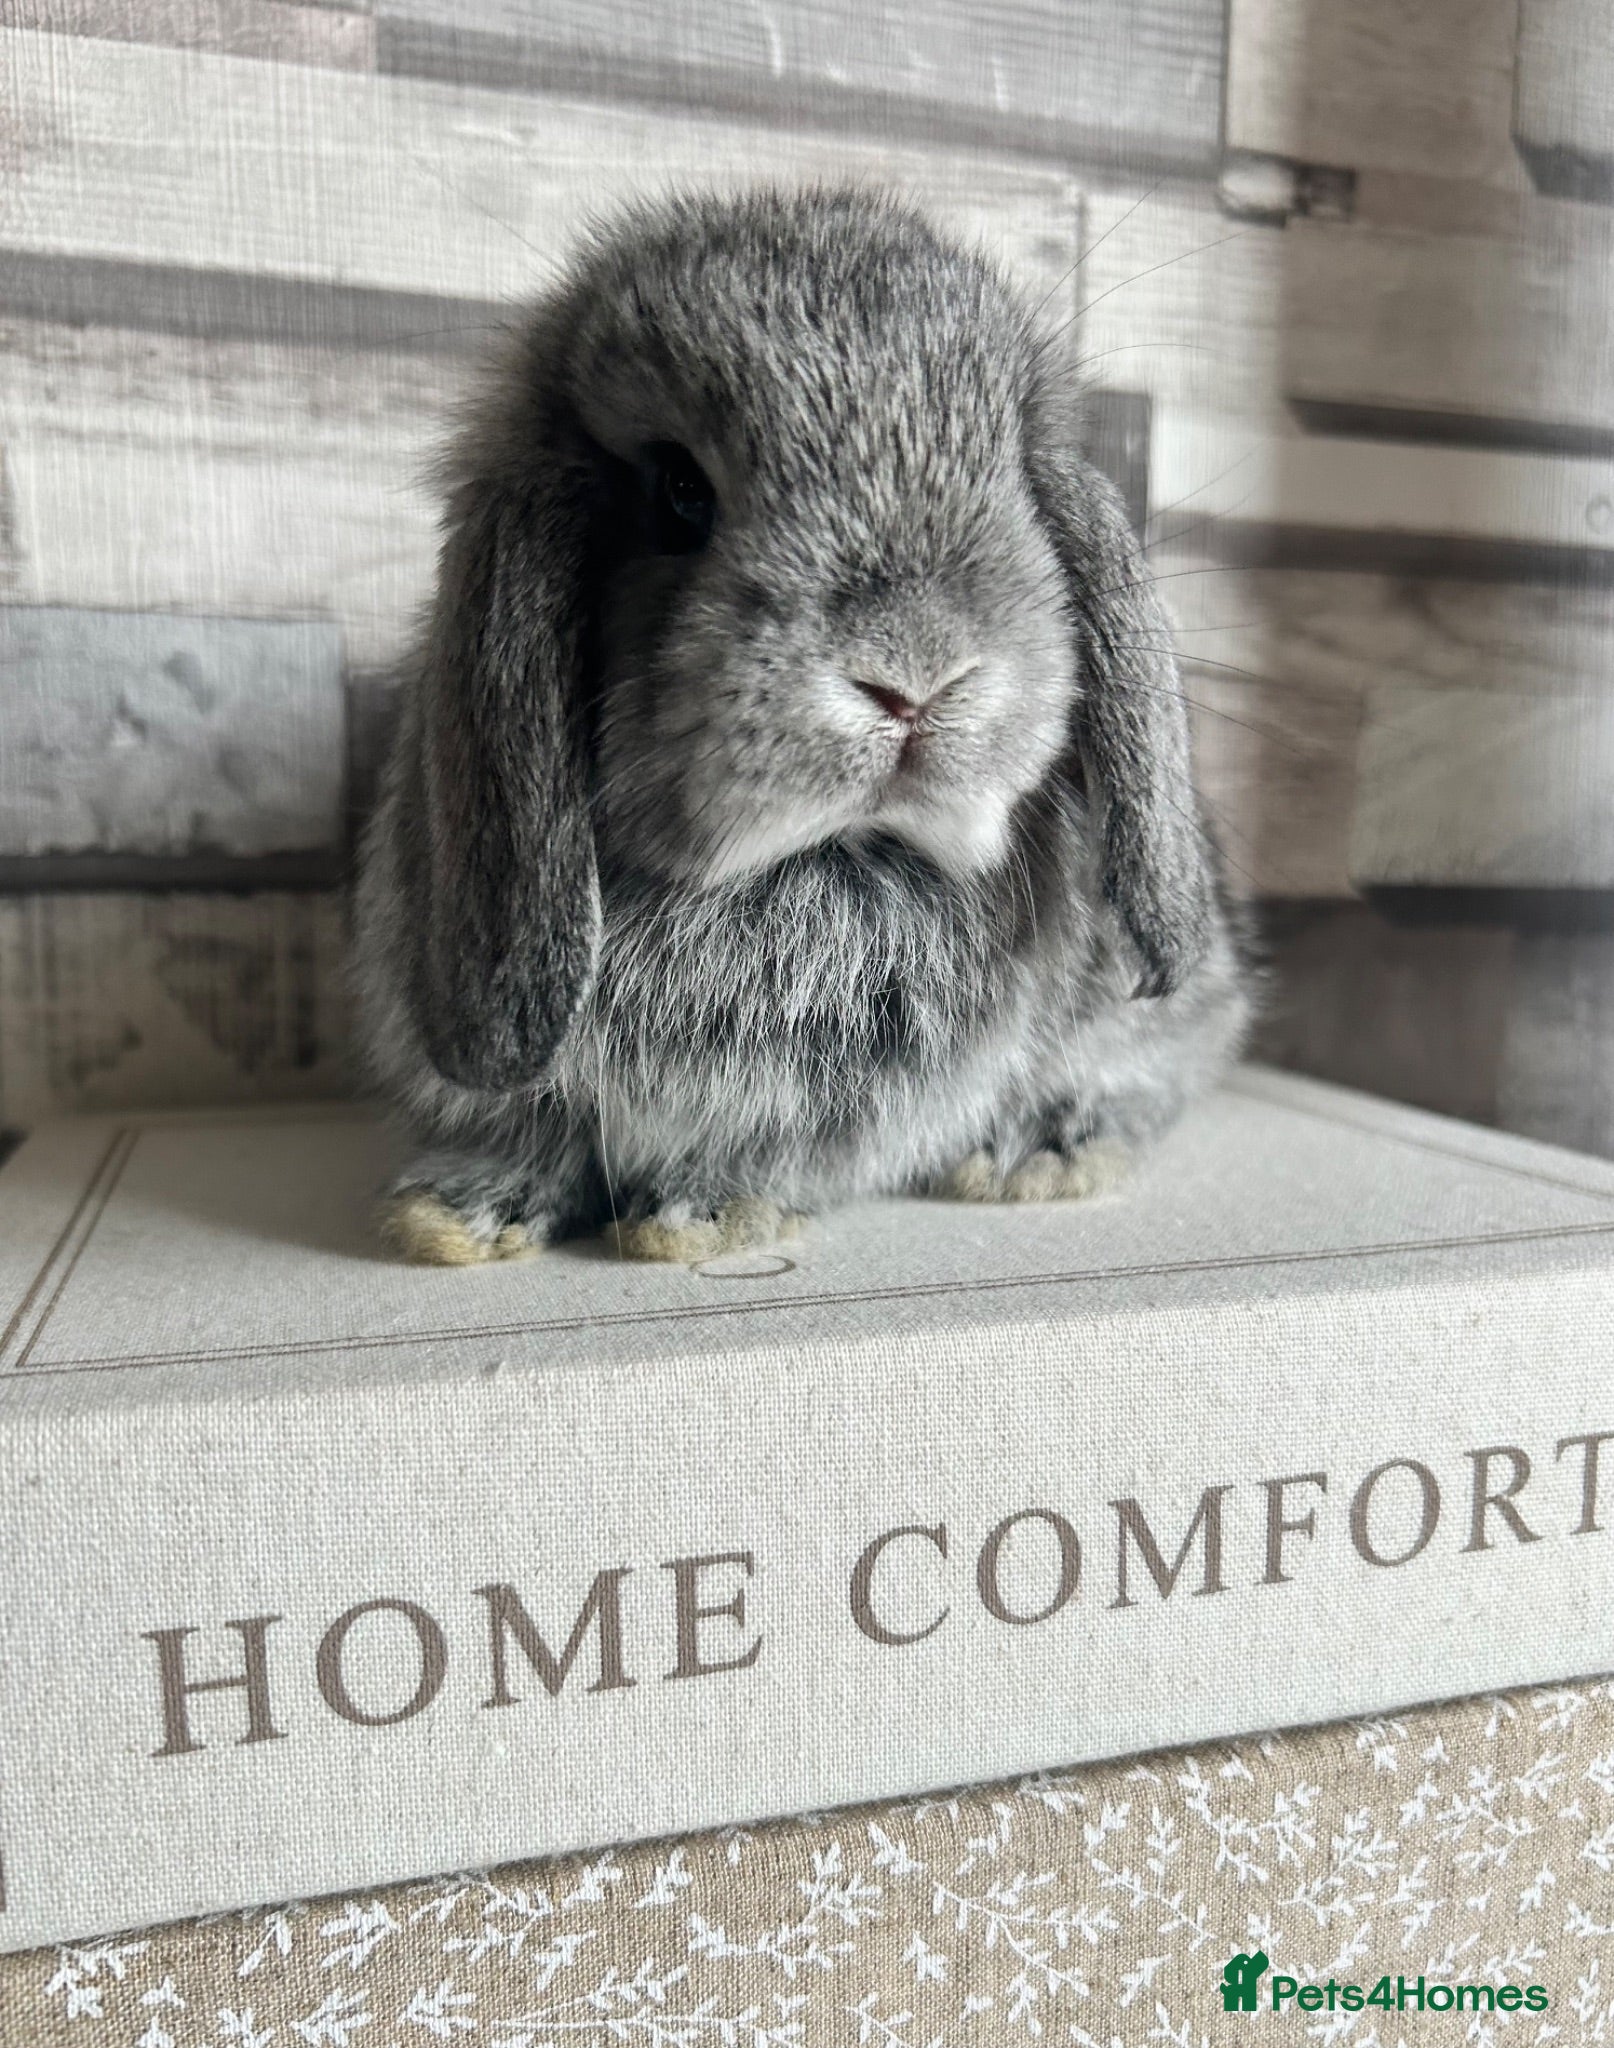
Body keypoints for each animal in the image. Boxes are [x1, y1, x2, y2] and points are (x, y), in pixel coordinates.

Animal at [353, 184, 1252, 1265]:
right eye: (680, 491)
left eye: (1013, 478)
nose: (916, 676)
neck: (823, 858)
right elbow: (530, 1134)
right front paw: (456, 1212)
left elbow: (763, 1156)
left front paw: (695, 1215)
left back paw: (1035, 1156)